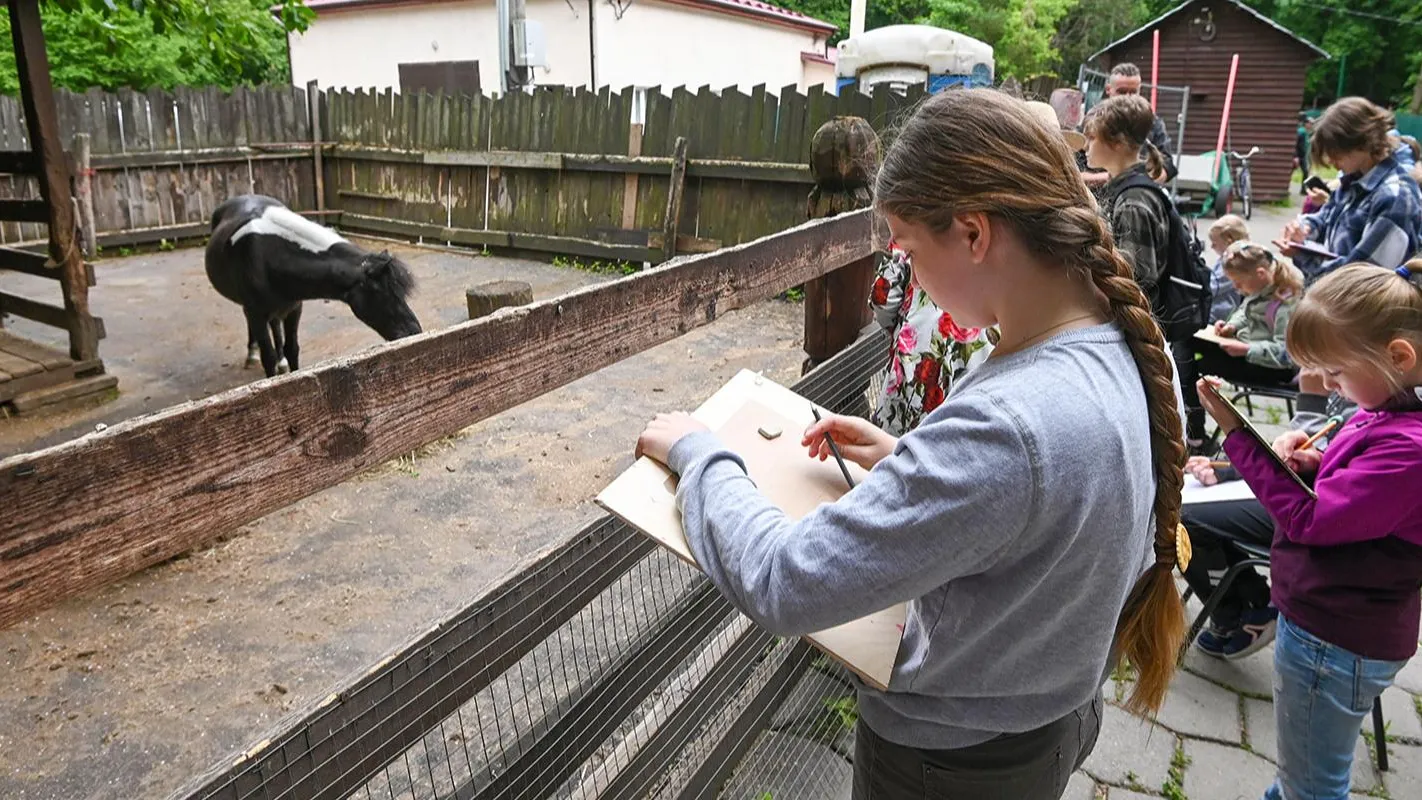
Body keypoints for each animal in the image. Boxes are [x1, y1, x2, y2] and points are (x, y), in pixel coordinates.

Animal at [204, 196, 420, 380]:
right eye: (381, 293)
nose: (414, 332)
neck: (268, 256)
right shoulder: (257, 313)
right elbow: (268, 357)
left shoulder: (294, 308)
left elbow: (292, 349)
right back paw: (252, 354)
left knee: (275, 325)